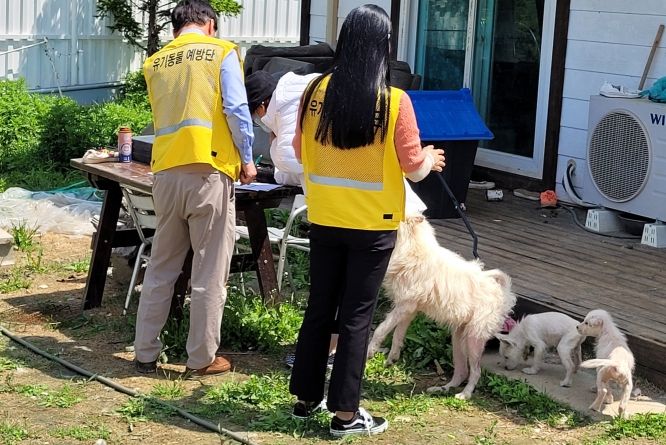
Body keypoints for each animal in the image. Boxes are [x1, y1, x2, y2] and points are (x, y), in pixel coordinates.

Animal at [367, 214, 516, 400]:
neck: (413, 247)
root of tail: (502, 290)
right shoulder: (408, 309)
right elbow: (397, 335)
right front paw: (392, 358)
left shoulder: (404, 306)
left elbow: (381, 329)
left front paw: (370, 350)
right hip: (458, 339)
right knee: (462, 371)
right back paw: (443, 389)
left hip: (473, 339)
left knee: (476, 372)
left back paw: (465, 394)